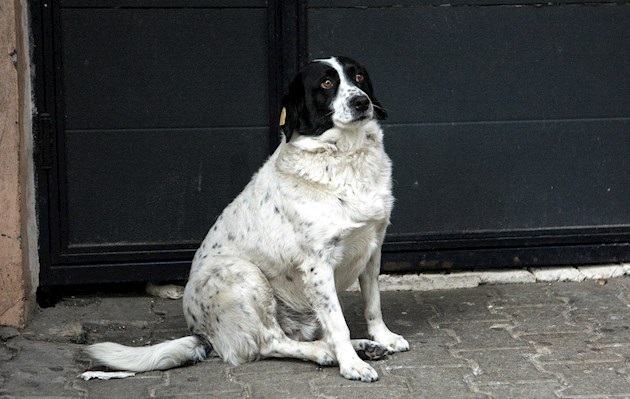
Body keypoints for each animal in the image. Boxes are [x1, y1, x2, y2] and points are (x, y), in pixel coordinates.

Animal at [85, 54, 410, 382]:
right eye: (327, 83)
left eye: (359, 77)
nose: (361, 101)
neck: (344, 156)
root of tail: (201, 334)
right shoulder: (317, 264)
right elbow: (338, 323)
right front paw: (351, 364)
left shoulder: (373, 247)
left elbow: (373, 304)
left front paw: (383, 337)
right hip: (243, 274)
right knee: (271, 342)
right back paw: (327, 353)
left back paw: (364, 345)